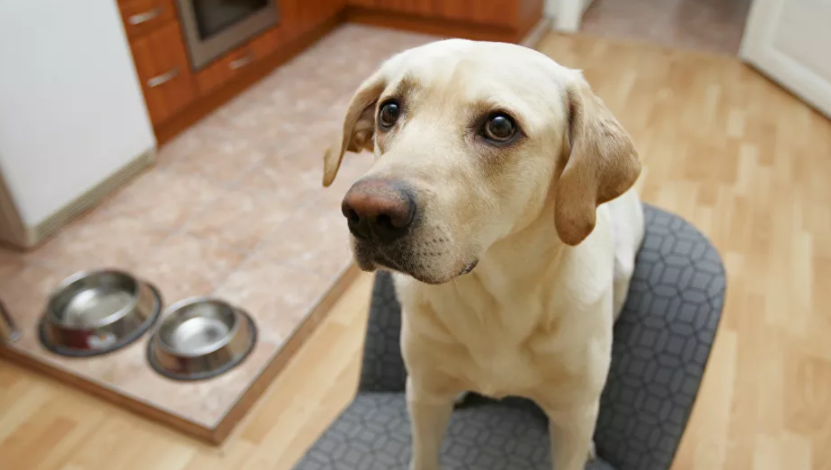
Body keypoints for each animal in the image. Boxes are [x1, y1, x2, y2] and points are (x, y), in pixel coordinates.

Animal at [322, 39, 644, 470]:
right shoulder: (423, 396)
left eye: (500, 126)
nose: (368, 214)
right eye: (388, 111)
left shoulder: (573, 416)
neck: (492, 300)